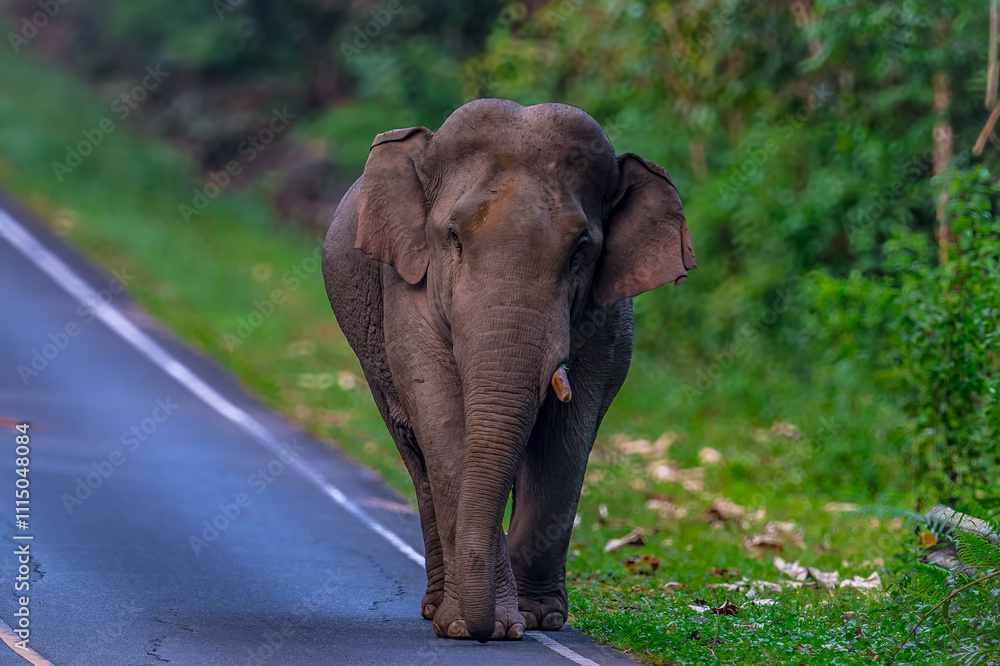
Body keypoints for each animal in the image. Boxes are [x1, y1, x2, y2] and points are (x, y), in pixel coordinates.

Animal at [322, 98, 695, 643]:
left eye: (581, 250)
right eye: (452, 237)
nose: (483, 631)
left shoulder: (605, 318)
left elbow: (566, 436)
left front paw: (537, 619)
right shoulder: (407, 289)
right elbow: (443, 419)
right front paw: (479, 626)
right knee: (416, 454)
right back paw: (437, 609)